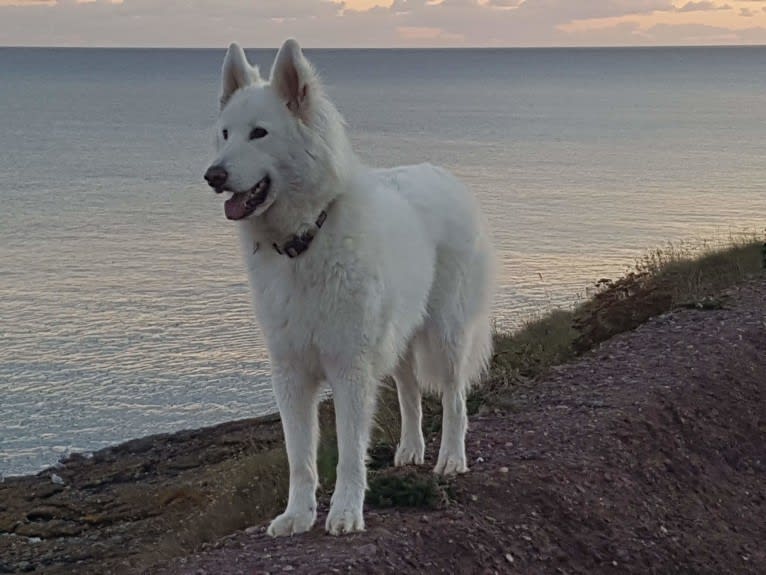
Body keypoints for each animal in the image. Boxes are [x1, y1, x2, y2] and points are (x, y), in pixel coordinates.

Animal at [204, 39, 496, 536]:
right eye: (225, 134)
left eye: (259, 134)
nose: (213, 176)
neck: (305, 241)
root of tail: (445, 175)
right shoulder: (291, 374)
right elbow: (300, 457)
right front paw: (297, 515)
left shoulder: (350, 370)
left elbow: (348, 453)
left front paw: (344, 511)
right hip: (400, 339)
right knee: (410, 393)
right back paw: (410, 450)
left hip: (447, 334)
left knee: (455, 398)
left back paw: (450, 459)